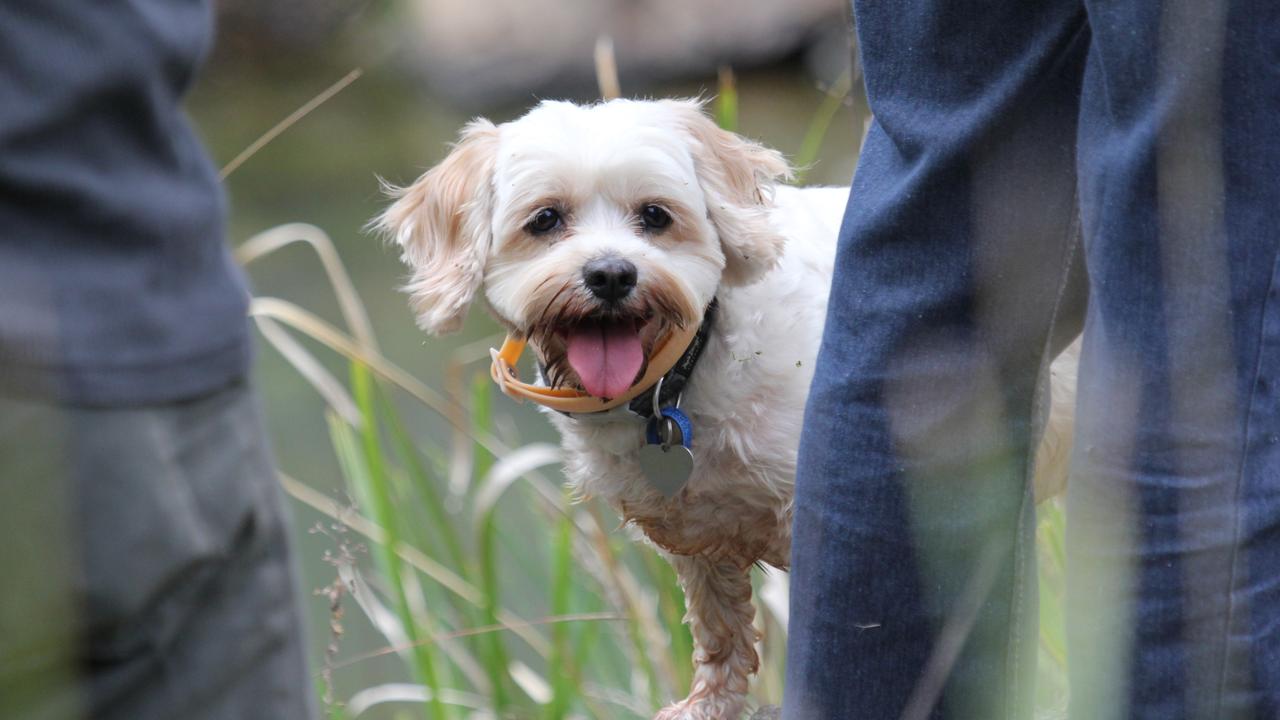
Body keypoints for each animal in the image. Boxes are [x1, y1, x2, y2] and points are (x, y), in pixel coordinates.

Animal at [373, 98, 1075, 712]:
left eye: (655, 215)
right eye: (545, 220)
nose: (611, 274)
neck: (682, 373)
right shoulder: (695, 531)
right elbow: (719, 630)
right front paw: (710, 705)